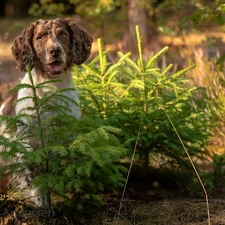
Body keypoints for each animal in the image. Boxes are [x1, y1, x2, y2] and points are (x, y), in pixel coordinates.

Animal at [0, 18, 92, 206]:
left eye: (63, 34)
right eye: (40, 37)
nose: (54, 51)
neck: (51, 88)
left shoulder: (70, 132)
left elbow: (74, 164)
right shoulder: (25, 139)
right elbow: (33, 175)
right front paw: (43, 205)